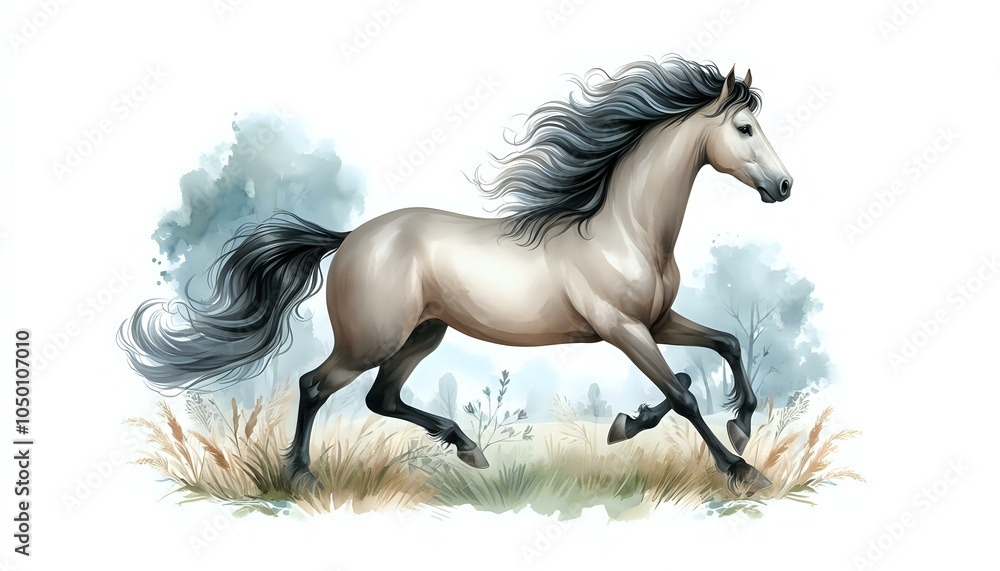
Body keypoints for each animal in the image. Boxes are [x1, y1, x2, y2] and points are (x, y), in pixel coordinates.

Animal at [119, 56, 791, 494]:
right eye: (744, 129)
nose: (784, 186)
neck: (627, 231)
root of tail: (350, 238)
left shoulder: (656, 320)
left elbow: (721, 346)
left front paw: (726, 423)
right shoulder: (622, 327)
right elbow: (683, 394)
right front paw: (741, 469)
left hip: (425, 333)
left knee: (380, 397)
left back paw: (467, 448)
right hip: (372, 339)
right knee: (315, 385)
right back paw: (303, 476)